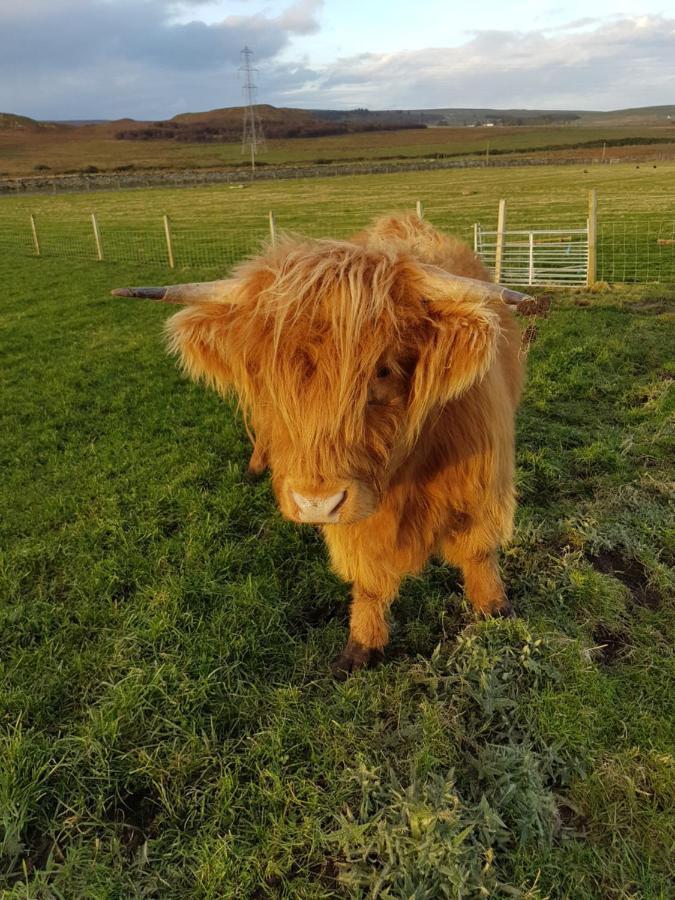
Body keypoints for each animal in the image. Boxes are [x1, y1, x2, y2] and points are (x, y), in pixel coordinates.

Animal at [115, 211, 528, 676]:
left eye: (383, 370)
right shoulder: (360, 516)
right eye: (268, 376)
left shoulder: (481, 485)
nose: (316, 504)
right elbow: (368, 578)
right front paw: (362, 645)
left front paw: (494, 608)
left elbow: (479, 552)